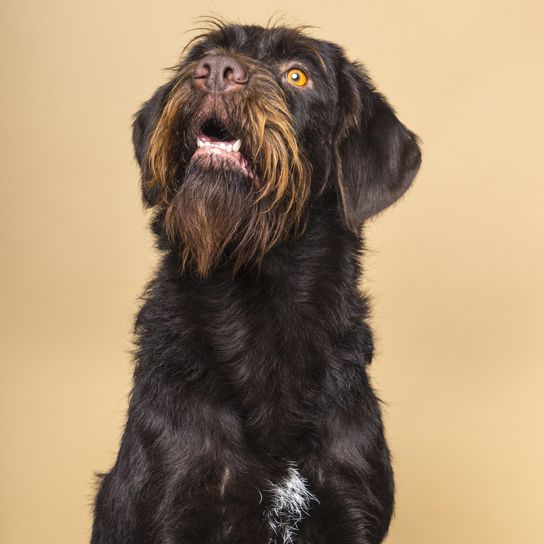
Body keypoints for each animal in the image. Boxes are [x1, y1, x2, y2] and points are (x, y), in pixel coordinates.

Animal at [90, 18, 420, 544]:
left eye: (298, 74)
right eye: (199, 56)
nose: (215, 70)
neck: (262, 302)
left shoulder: (351, 507)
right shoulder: (175, 501)